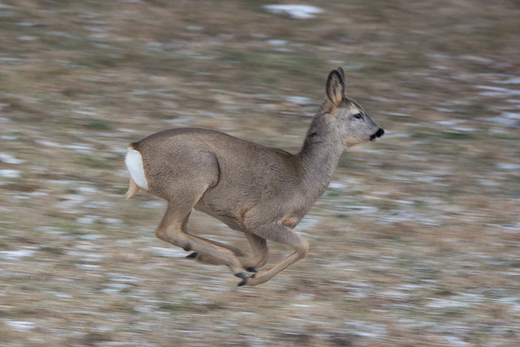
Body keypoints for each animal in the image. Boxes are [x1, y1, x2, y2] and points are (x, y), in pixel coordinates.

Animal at [124, 68, 384, 288]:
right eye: (358, 114)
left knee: (182, 229)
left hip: (190, 195)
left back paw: (214, 256)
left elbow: (261, 256)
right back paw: (234, 265)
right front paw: (252, 279)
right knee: (167, 230)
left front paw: (217, 261)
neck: (302, 177)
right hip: (195, 175)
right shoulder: (260, 217)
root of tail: (136, 149)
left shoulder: (243, 221)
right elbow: (303, 246)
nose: (379, 131)